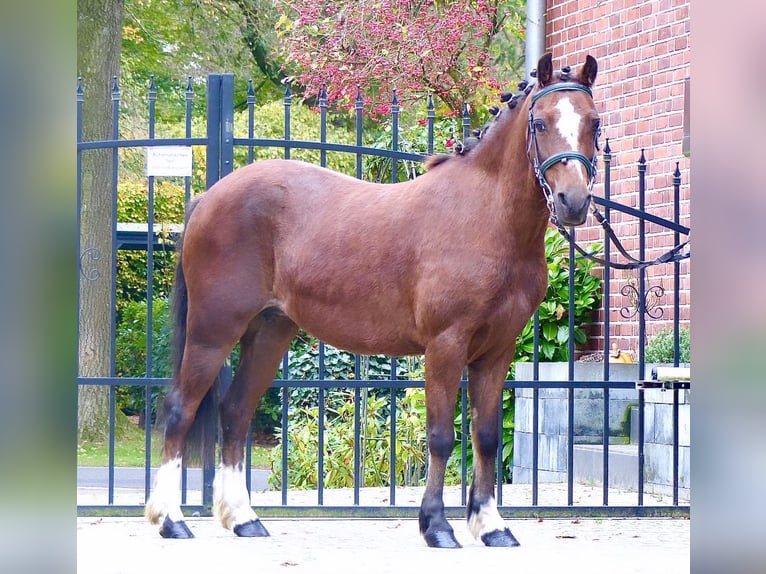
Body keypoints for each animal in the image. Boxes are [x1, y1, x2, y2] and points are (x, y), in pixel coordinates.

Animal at [144, 53, 600, 548]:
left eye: (594, 123)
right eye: (539, 122)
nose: (573, 202)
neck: (485, 218)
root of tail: (209, 197)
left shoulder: (496, 352)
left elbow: (486, 437)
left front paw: (491, 526)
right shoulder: (445, 345)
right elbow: (441, 435)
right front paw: (437, 527)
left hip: (269, 333)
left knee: (236, 412)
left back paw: (243, 519)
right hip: (213, 330)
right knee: (179, 410)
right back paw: (170, 520)